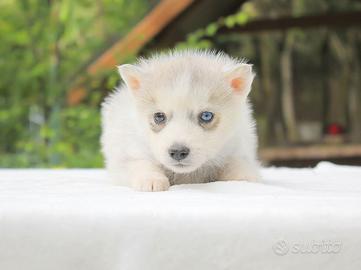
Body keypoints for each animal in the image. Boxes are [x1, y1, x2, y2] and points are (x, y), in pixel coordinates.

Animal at [100, 49, 260, 191]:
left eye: (206, 116)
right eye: (159, 116)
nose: (178, 151)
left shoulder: (238, 147)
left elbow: (239, 164)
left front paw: (246, 177)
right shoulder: (127, 151)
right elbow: (139, 164)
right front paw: (151, 179)